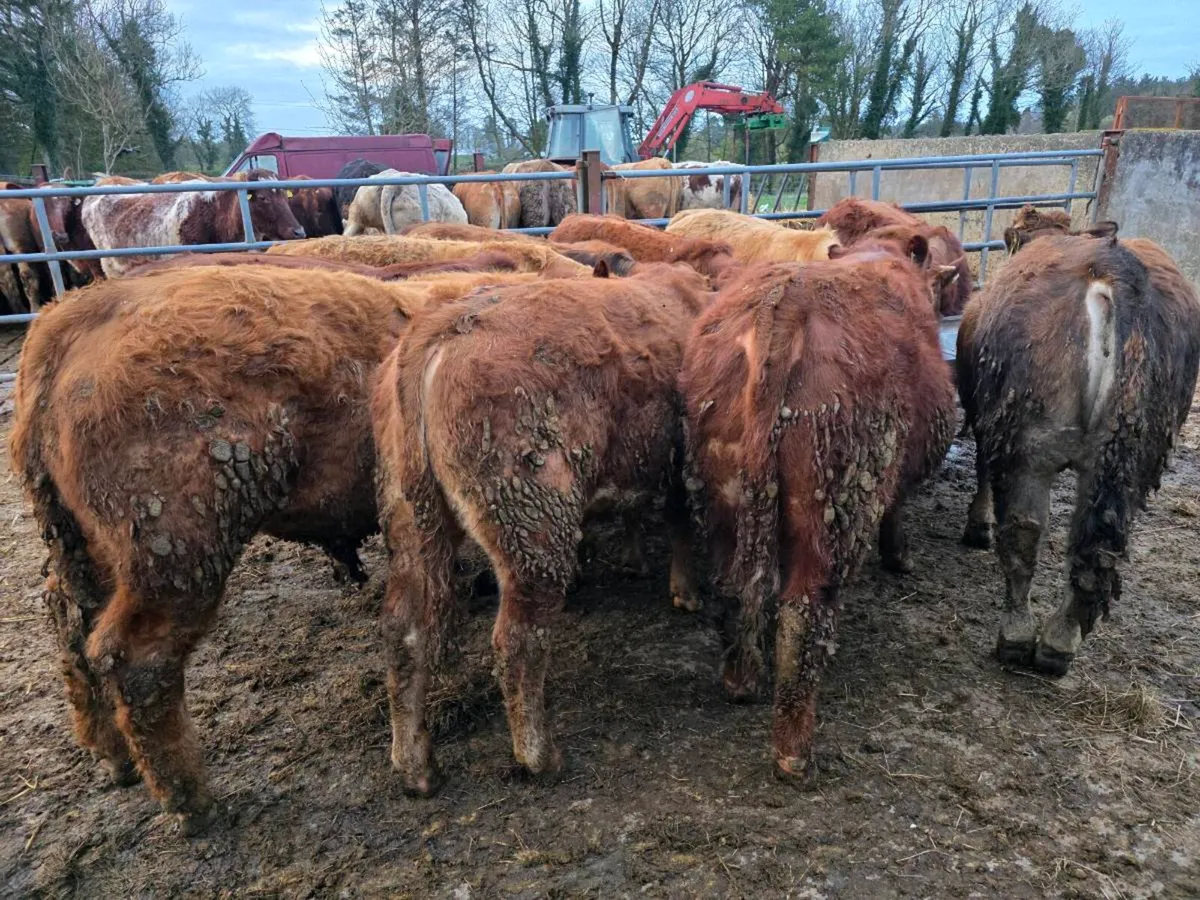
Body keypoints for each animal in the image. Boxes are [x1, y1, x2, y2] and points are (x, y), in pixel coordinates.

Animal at [7, 262, 551, 832]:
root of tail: (69, 319)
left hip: (83, 551)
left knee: (71, 627)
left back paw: (115, 761)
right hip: (175, 559)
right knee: (136, 660)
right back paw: (193, 804)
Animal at [371, 263, 712, 794]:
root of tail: (438, 331)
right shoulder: (679, 456)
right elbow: (679, 520)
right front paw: (686, 590)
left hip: (409, 525)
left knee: (403, 632)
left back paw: (416, 766)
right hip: (533, 528)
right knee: (517, 640)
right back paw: (538, 756)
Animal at [680, 231, 957, 781]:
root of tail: (783, 305)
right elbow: (897, 511)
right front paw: (900, 557)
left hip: (723, 496)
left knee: (732, 586)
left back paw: (741, 682)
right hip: (828, 511)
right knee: (803, 614)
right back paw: (794, 751)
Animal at [956, 233, 1200, 675]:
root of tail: (1113, 269)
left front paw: (977, 527)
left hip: (1030, 447)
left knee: (1026, 532)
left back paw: (1020, 637)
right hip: (1124, 459)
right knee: (1092, 546)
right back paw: (1058, 641)